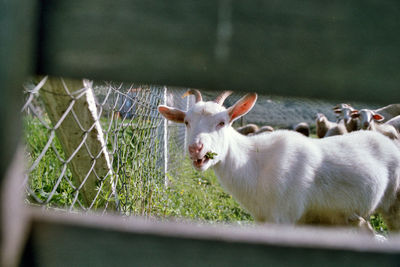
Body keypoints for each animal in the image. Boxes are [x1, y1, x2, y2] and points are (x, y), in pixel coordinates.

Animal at [159, 90, 400, 232]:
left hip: (393, 205)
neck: (254, 163)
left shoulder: (284, 218)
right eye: (187, 122)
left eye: (222, 122)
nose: (195, 148)